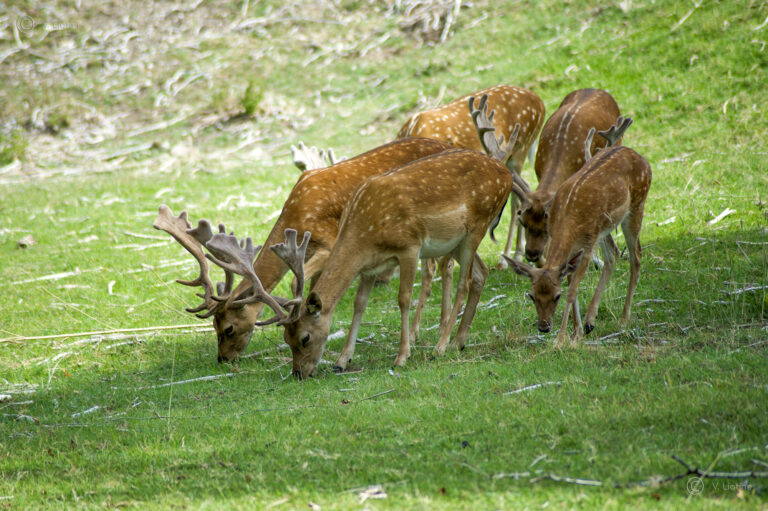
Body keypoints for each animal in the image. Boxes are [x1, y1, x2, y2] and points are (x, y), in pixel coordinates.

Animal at [154, 137, 453, 363]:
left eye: (228, 329)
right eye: (213, 325)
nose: (223, 359)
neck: (296, 219)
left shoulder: (328, 245)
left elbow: (294, 286)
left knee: (439, 266)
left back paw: (428, 333)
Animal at [505, 117, 651, 348]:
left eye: (556, 296)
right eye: (532, 295)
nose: (544, 327)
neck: (567, 221)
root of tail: (642, 159)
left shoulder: (588, 244)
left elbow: (572, 290)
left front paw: (561, 339)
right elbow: (570, 279)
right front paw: (577, 332)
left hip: (637, 205)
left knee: (635, 255)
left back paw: (623, 319)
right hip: (605, 228)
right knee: (613, 254)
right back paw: (591, 319)